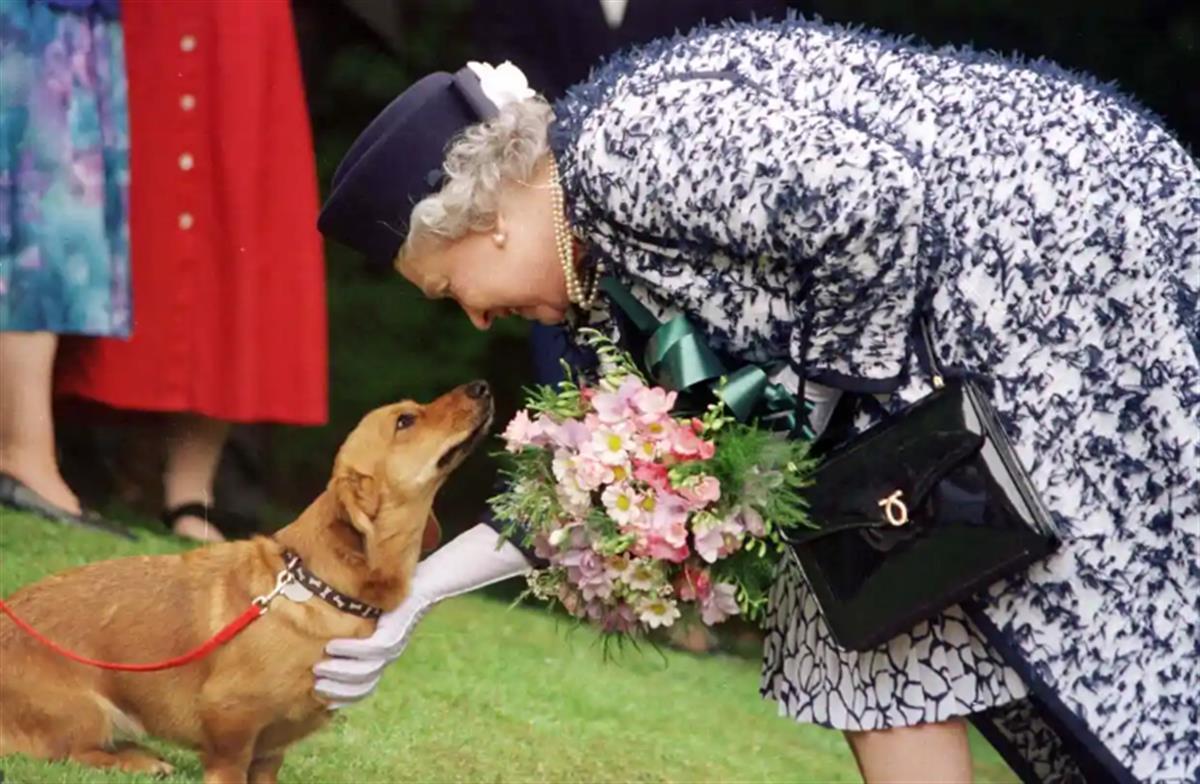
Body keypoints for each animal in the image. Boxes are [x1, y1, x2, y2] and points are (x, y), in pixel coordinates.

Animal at [0, 379, 494, 777]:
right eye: (405, 420)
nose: (482, 386)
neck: (317, 585)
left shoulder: (271, 750)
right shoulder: (230, 722)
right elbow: (228, 764)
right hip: (89, 711)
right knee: (76, 752)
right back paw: (138, 761)